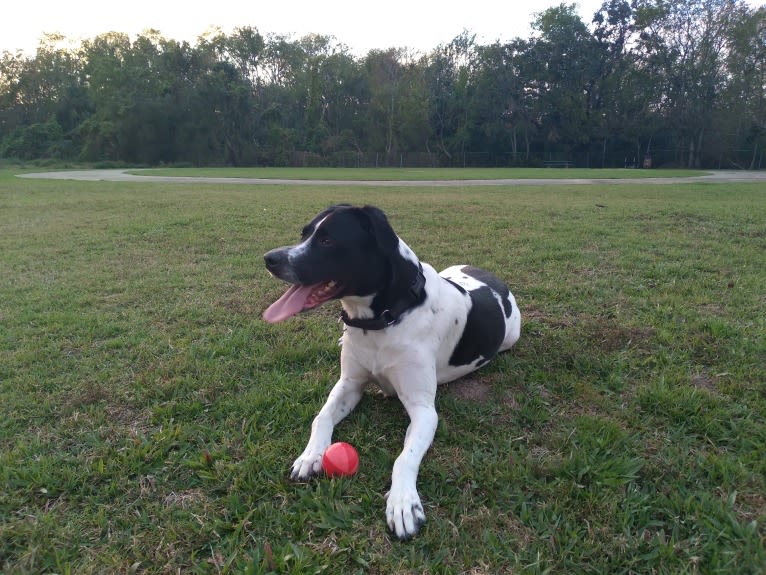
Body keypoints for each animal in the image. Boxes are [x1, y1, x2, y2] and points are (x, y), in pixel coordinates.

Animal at [264, 204, 520, 540]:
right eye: (304, 233)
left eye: (328, 241)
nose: (269, 258)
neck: (385, 318)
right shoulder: (348, 384)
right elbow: (321, 418)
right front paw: (310, 455)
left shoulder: (424, 410)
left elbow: (405, 458)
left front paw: (403, 503)